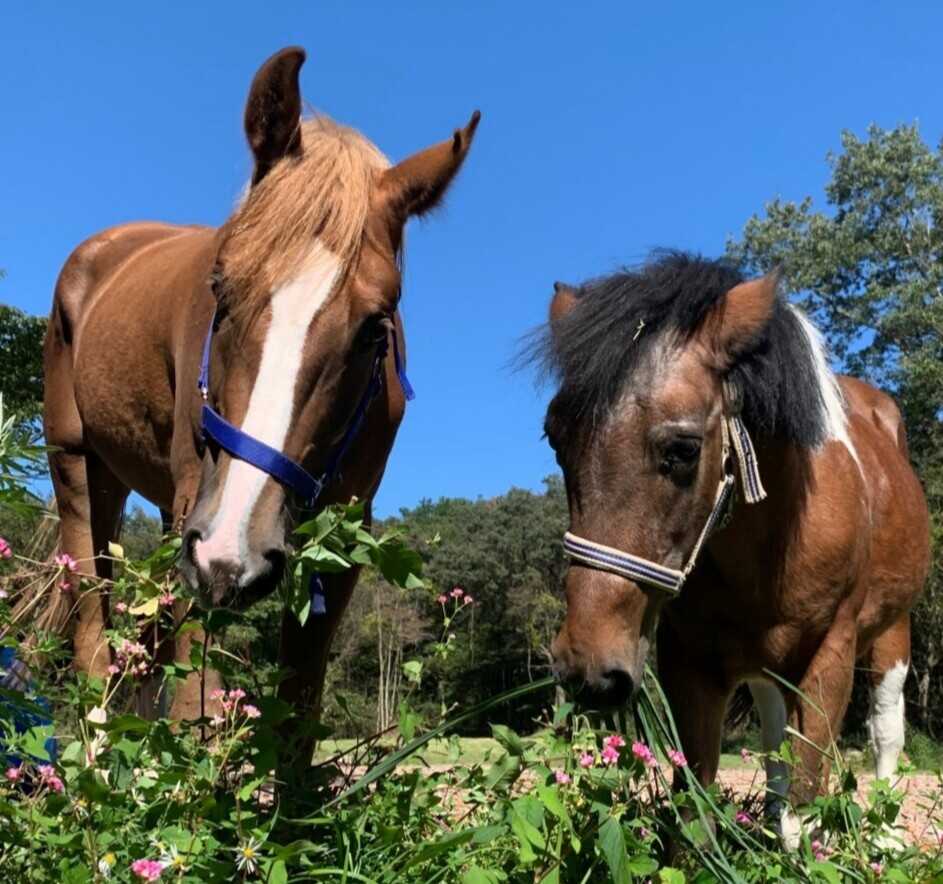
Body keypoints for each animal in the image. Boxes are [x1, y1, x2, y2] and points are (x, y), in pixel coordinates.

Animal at [38, 46, 479, 750]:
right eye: (220, 286)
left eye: (375, 325)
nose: (231, 554)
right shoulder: (199, 520)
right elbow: (195, 698)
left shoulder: (345, 531)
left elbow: (297, 711)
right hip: (84, 470)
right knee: (93, 628)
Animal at [534, 252, 930, 845]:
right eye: (556, 439)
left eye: (683, 449)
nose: (587, 668)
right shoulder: (690, 658)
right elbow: (695, 810)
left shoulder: (831, 652)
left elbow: (807, 794)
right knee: (773, 742)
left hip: (891, 630)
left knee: (884, 729)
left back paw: (883, 837)